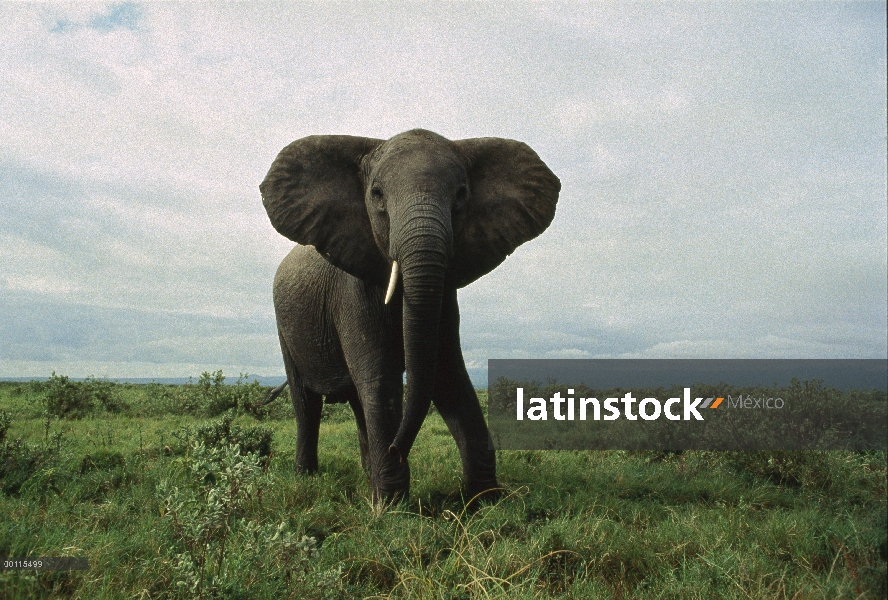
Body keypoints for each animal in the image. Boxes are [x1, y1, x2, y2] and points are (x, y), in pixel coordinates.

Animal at [260, 129, 560, 504]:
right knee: (307, 402)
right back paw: (309, 476)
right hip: (284, 326)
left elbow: (447, 376)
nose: (396, 450)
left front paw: (485, 501)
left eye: (461, 195)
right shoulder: (351, 292)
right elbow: (382, 379)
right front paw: (390, 507)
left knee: (356, 401)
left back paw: (367, 474)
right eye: (377, 195)